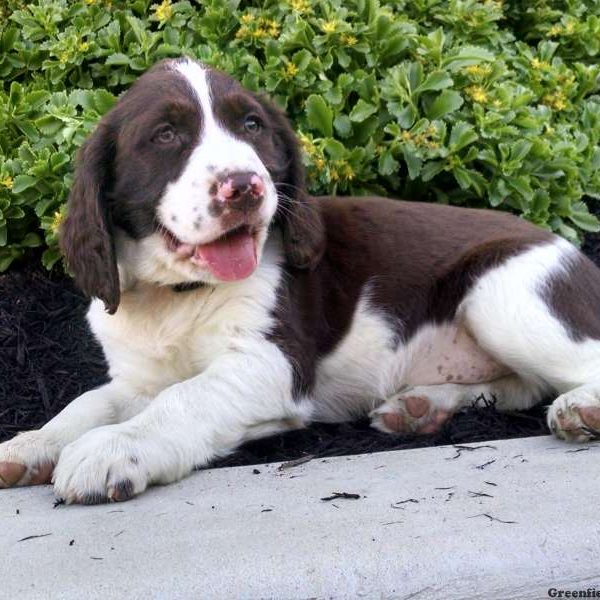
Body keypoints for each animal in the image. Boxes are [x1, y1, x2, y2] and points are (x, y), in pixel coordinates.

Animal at [1, 59, 600, 502]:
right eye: (166, 135)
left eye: (252, 126)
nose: (245, 186)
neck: (178, 295)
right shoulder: (138, 378)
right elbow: (91, 402)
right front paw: (31, 444)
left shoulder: (270, 364)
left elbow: (184, 398)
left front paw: (112, 449)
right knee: (523, 386)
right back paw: (422, 407)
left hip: (506, 293)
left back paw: (579, 410)